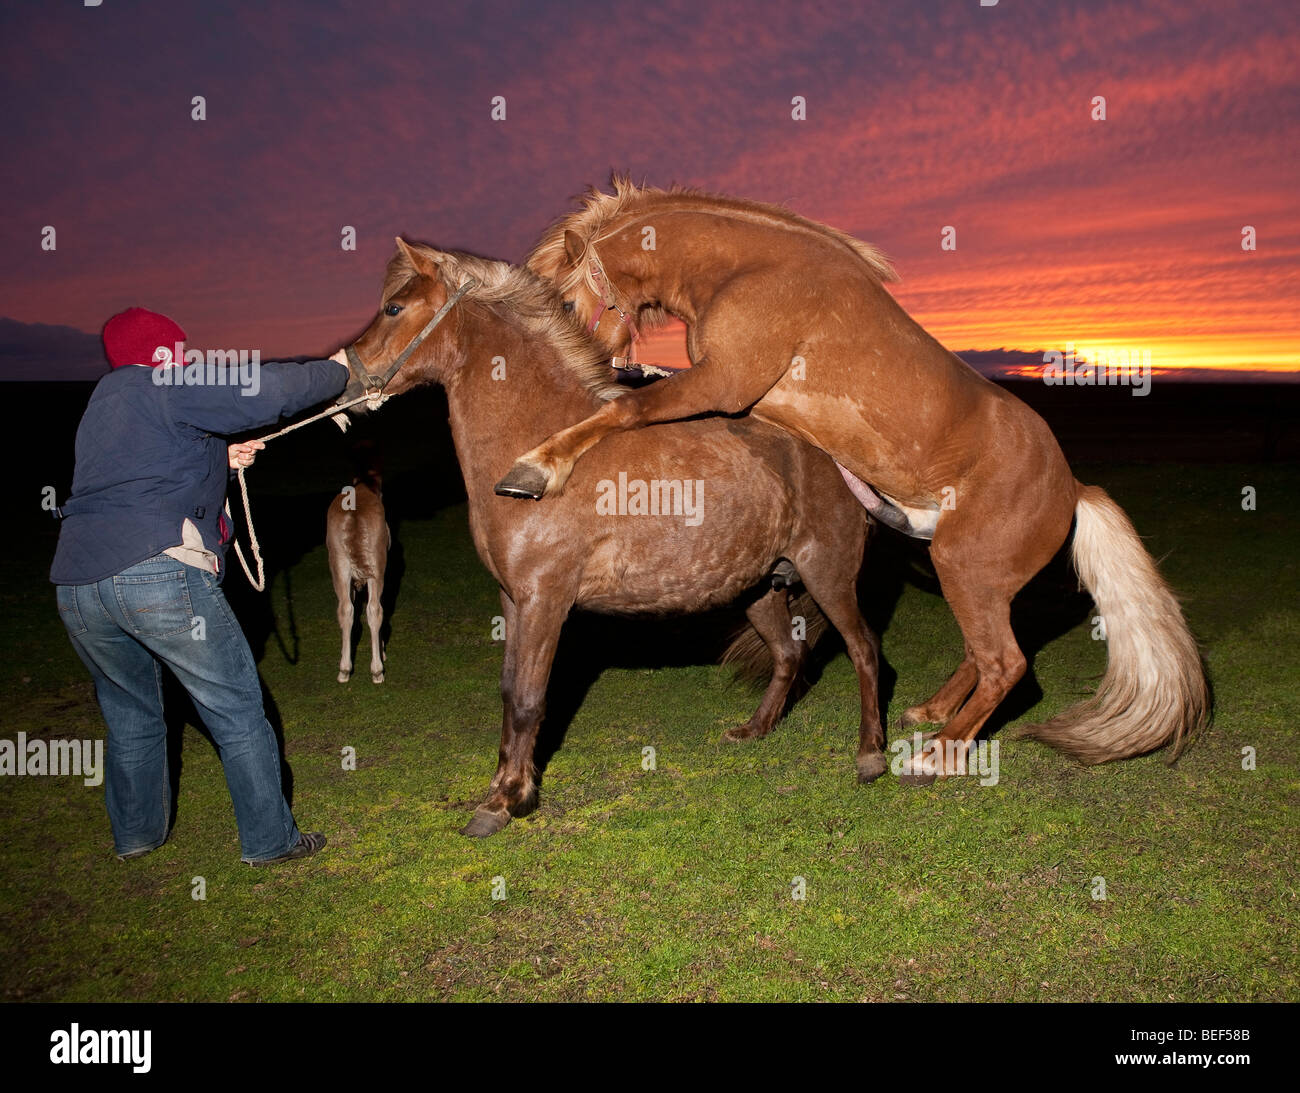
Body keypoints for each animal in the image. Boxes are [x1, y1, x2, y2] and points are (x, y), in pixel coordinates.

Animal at [335, 240, 883, 836]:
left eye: (394, 308)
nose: (349, 385)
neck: (535, 448)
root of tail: (839, 459)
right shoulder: (513, 599)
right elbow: (508, 692)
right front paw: (505, 788)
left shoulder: (546, 600)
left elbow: (528, 699)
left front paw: (505, 803)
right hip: (760, 588)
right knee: (788, 654)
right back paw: (753, 730)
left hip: (827, 574)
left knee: (864, 649)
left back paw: (871, 755)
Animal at [501, 176, 1211, 784]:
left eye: (565, 303)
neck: (748, 270)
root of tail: (1073, 491)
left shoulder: (723, 384)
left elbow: (623, 410)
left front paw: (535, 467)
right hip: (973, 579)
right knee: (983, 656)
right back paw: (933, 714)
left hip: (965, 568)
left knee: (1007, 665)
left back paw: (938, 754)